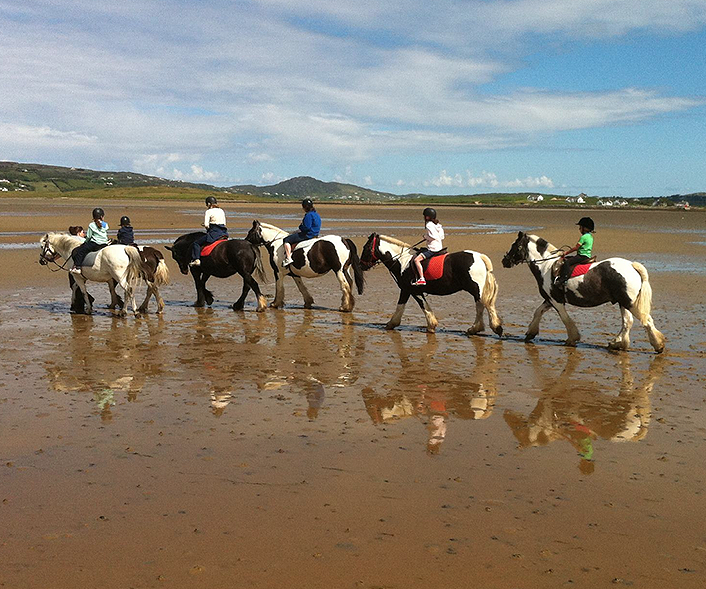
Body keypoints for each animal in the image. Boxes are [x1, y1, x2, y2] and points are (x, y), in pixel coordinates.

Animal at [360, 233, 504, 338]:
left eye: (366, 247)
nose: (361, 265)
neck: (403, 261)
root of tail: (479, 256)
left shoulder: (413, 290)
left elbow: (423, 306)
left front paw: (431, 325)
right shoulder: (406, 290)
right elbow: (400, 306)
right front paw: (391, 324)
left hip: (475, 289)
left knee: (484, 306)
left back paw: (490, 328)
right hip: (476, 290)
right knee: (482, 306)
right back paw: (478, 328)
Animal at [500, 231, 664, 354]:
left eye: (515, 245)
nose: (504, 261)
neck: (546, 266)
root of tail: (631, 265)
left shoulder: (556, 300)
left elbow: (565, 318)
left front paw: (572, 339)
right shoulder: (549, 299)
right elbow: (538, 312)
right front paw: (530, 333)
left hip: (629, 302)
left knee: (646, 321)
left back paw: (659, 345)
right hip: (623, 302)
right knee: (627, 322)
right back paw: (617, 344)